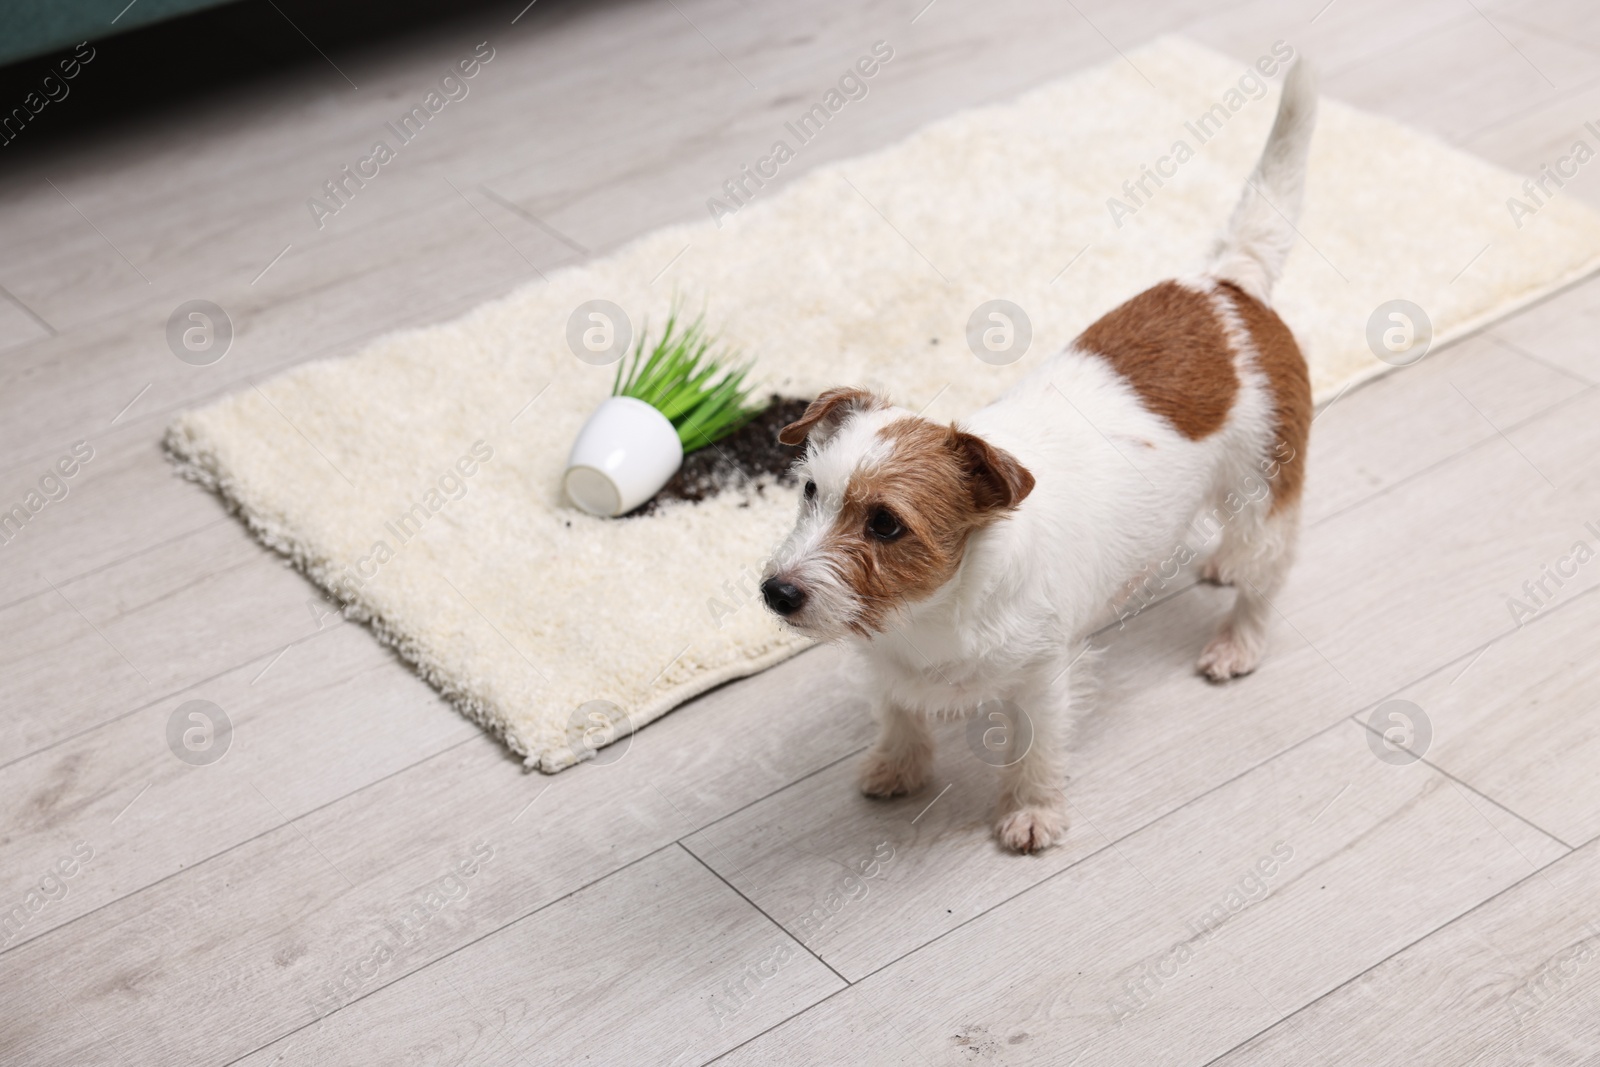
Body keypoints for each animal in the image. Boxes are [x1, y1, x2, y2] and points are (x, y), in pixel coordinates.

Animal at [761, 62, 1324, 857]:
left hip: (1264, 490)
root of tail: (1225, 286)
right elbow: (898, 713)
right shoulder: (886, 666)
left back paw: (1237, 640)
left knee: (1266, 573)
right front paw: (898, 765)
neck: (932, 611)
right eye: (810, 491)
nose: (776, 592)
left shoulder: (1039, 677)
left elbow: (1034, 747)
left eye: (886, 525)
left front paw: (1031, 813)